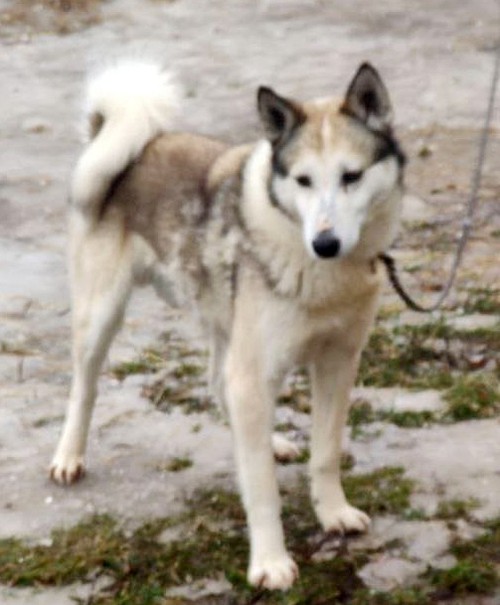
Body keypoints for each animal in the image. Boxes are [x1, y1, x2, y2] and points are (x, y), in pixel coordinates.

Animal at [50, 61, 405, 590]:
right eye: (303, 180)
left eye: (352, 177)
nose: (325, 243)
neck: (320, 271)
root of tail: (131, 139)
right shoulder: (255, 370)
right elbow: (261, 489)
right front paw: (270, 562)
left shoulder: (338, 362)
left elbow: (325, 454)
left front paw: (333, 513)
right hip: (102, 315)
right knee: (84, 389)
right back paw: (68, 457)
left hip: (227, 322)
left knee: (219, 384)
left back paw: (270, 440)